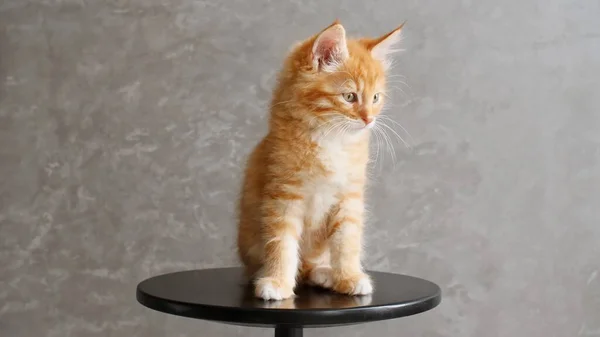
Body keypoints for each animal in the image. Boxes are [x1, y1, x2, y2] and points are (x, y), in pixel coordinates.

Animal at [238, 21, 404, 300]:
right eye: (349, 97)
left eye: (375, 98)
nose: (369, 119)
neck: (331, 140)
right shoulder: (283, 196)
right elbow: (281, 243)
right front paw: (277, 282)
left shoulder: (349, 198)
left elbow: (347, 242)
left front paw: (348, 277)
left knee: (311, 265)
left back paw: (326, 273)